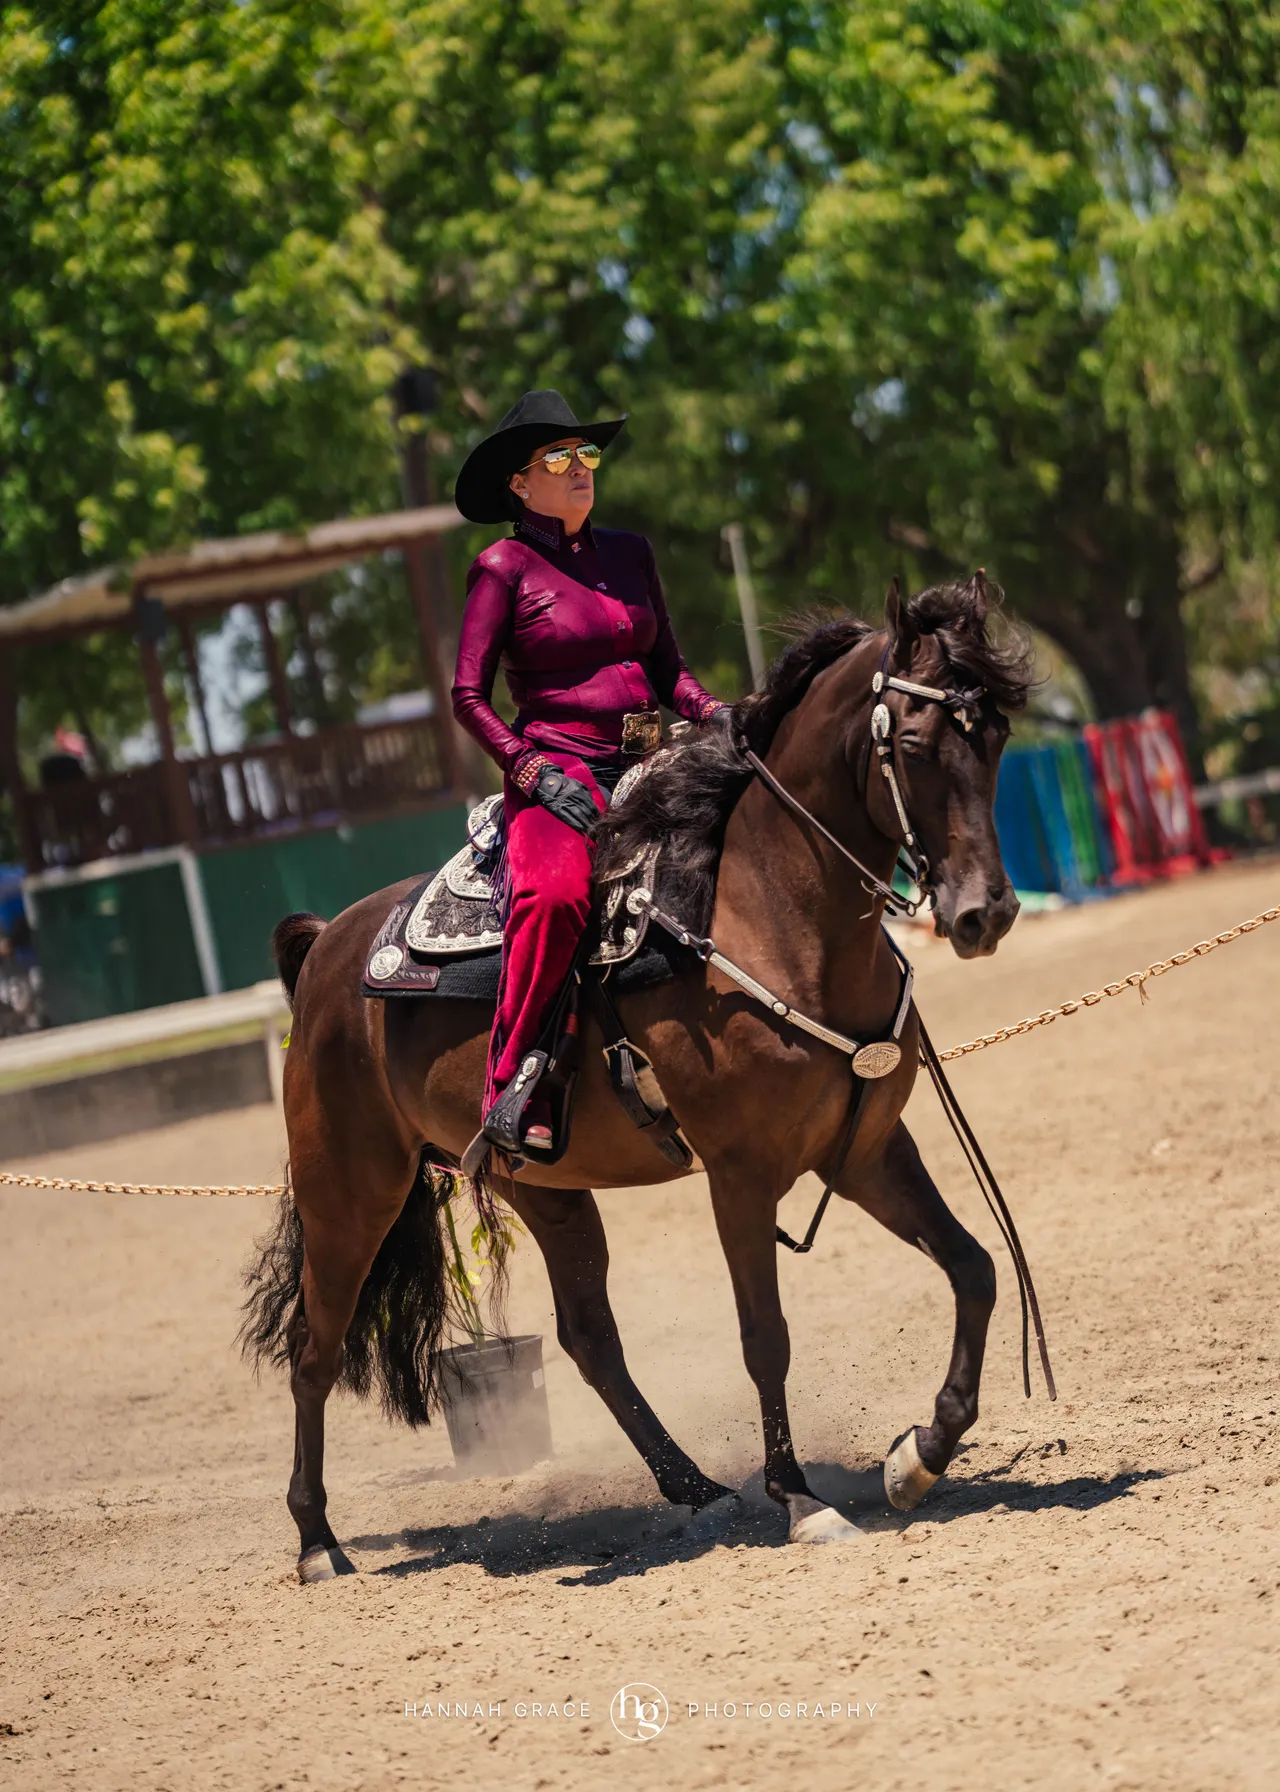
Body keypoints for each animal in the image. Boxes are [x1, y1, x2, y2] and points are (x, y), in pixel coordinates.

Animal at [242, 571, 1033, 1580]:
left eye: (997, 737)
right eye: (921, 742)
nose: (985, 914)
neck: (765, 913)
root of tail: (328, 949)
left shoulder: (864, 1152)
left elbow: (974, 1267)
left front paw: (917, 1457)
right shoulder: (741, 1175)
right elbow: (765, 1337)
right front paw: (801, 1500)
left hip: (544, 1188)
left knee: (589, 1339)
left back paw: (697, 1488)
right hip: (350, 1193)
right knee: (315, 1348)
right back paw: (318, 1545)